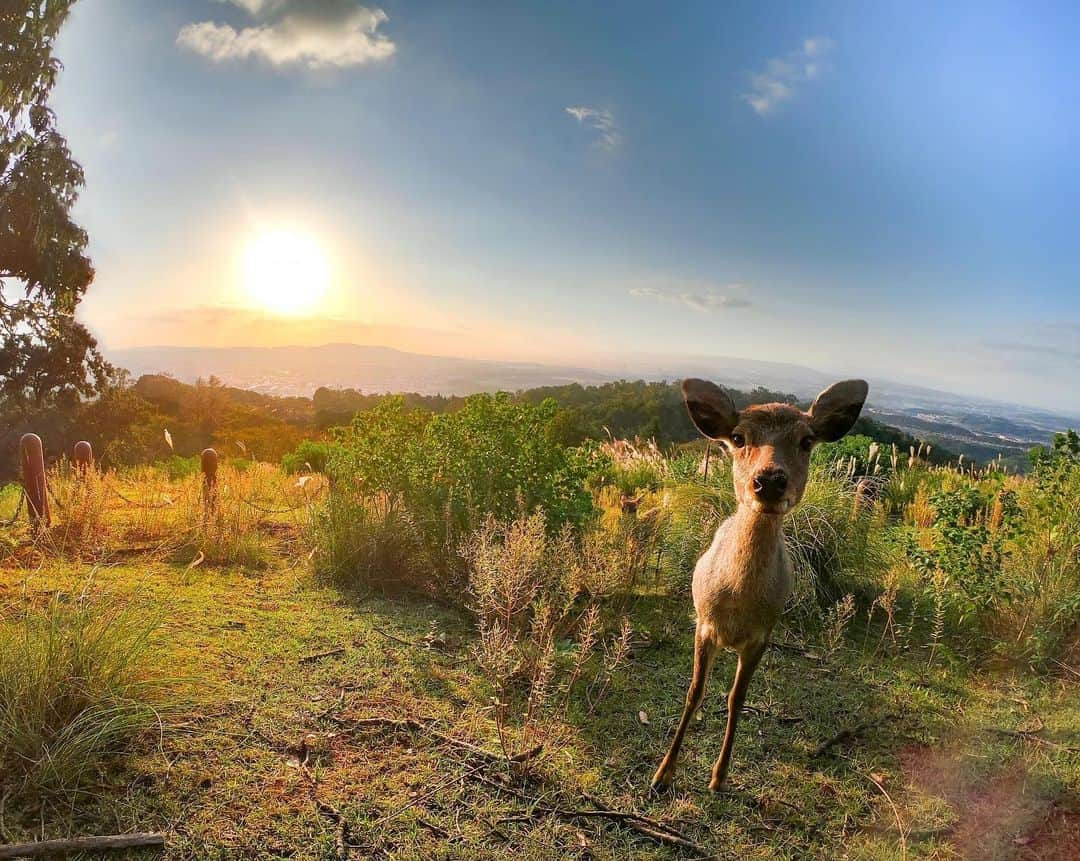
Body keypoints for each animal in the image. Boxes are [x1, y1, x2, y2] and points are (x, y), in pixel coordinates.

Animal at [648, 375, 868, 790]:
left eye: (806, 440)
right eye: (738, 438)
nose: (768, 480)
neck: (739, 602)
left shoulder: (762, 635)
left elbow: (737, 698)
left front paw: (719, 777)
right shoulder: (705, 625)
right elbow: (694, 692)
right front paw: (663, 773)